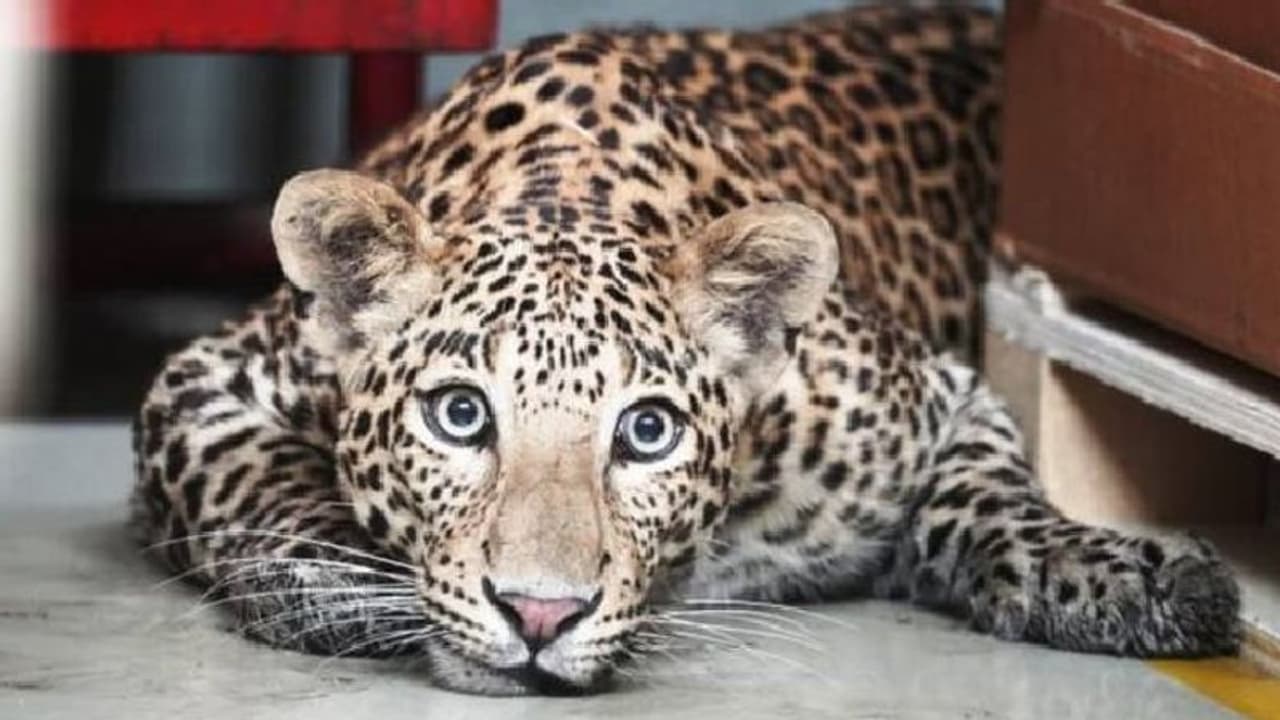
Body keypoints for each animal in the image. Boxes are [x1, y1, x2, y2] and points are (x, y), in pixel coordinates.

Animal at [130, 4, 1240, 696]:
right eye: (459, 414)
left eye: (647, 433)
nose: (539, 615)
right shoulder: (203, 385)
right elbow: (262, 480)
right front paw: (348, 580)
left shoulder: (940, 399)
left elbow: (996, 499)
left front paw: (1122, 574)